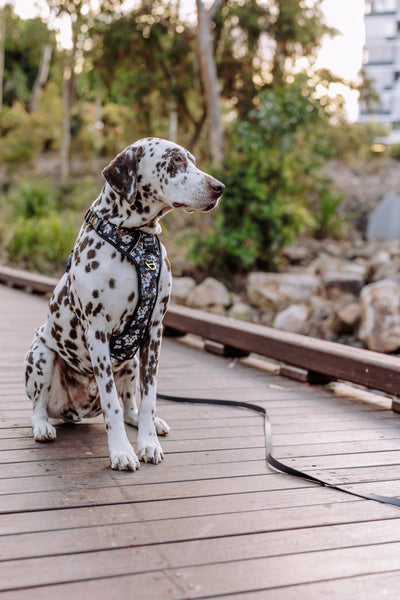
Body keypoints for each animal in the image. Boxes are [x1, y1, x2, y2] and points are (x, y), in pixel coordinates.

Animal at [23, 138, 225, 472]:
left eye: (193, 161)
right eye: (176, 160)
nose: (219, 187)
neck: (135, 239)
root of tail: (75, 411)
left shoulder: (154, 332)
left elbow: (148, 397)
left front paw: (148, 443)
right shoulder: (97, 333)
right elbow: (111, 405)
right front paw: (121, 451)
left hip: (130, 363)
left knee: (132, 405)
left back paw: (149, 423)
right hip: (41, 355)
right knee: (38, 406)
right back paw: (42, 425)